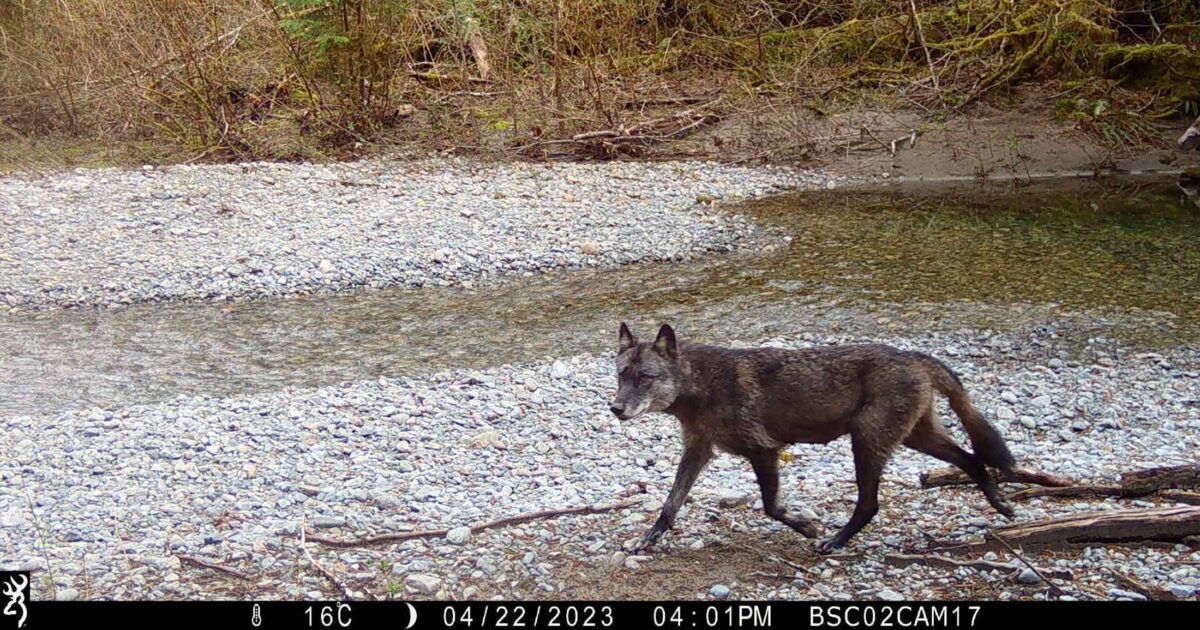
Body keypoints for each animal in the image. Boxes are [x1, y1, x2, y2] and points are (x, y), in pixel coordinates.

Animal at [609, 323, 1017, 553]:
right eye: (620, 375)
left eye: (644, 377)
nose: (615, 408)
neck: (700, 385)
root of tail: (913, 356)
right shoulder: (697, 451)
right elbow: (670, 504)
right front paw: (647, 539)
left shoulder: (764, 451)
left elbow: (771, 506)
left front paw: (806, 526)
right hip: (916, 438)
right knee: (973, 459)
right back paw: (1000, 504)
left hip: (866, 442)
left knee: (870, 504)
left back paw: (834, 541)